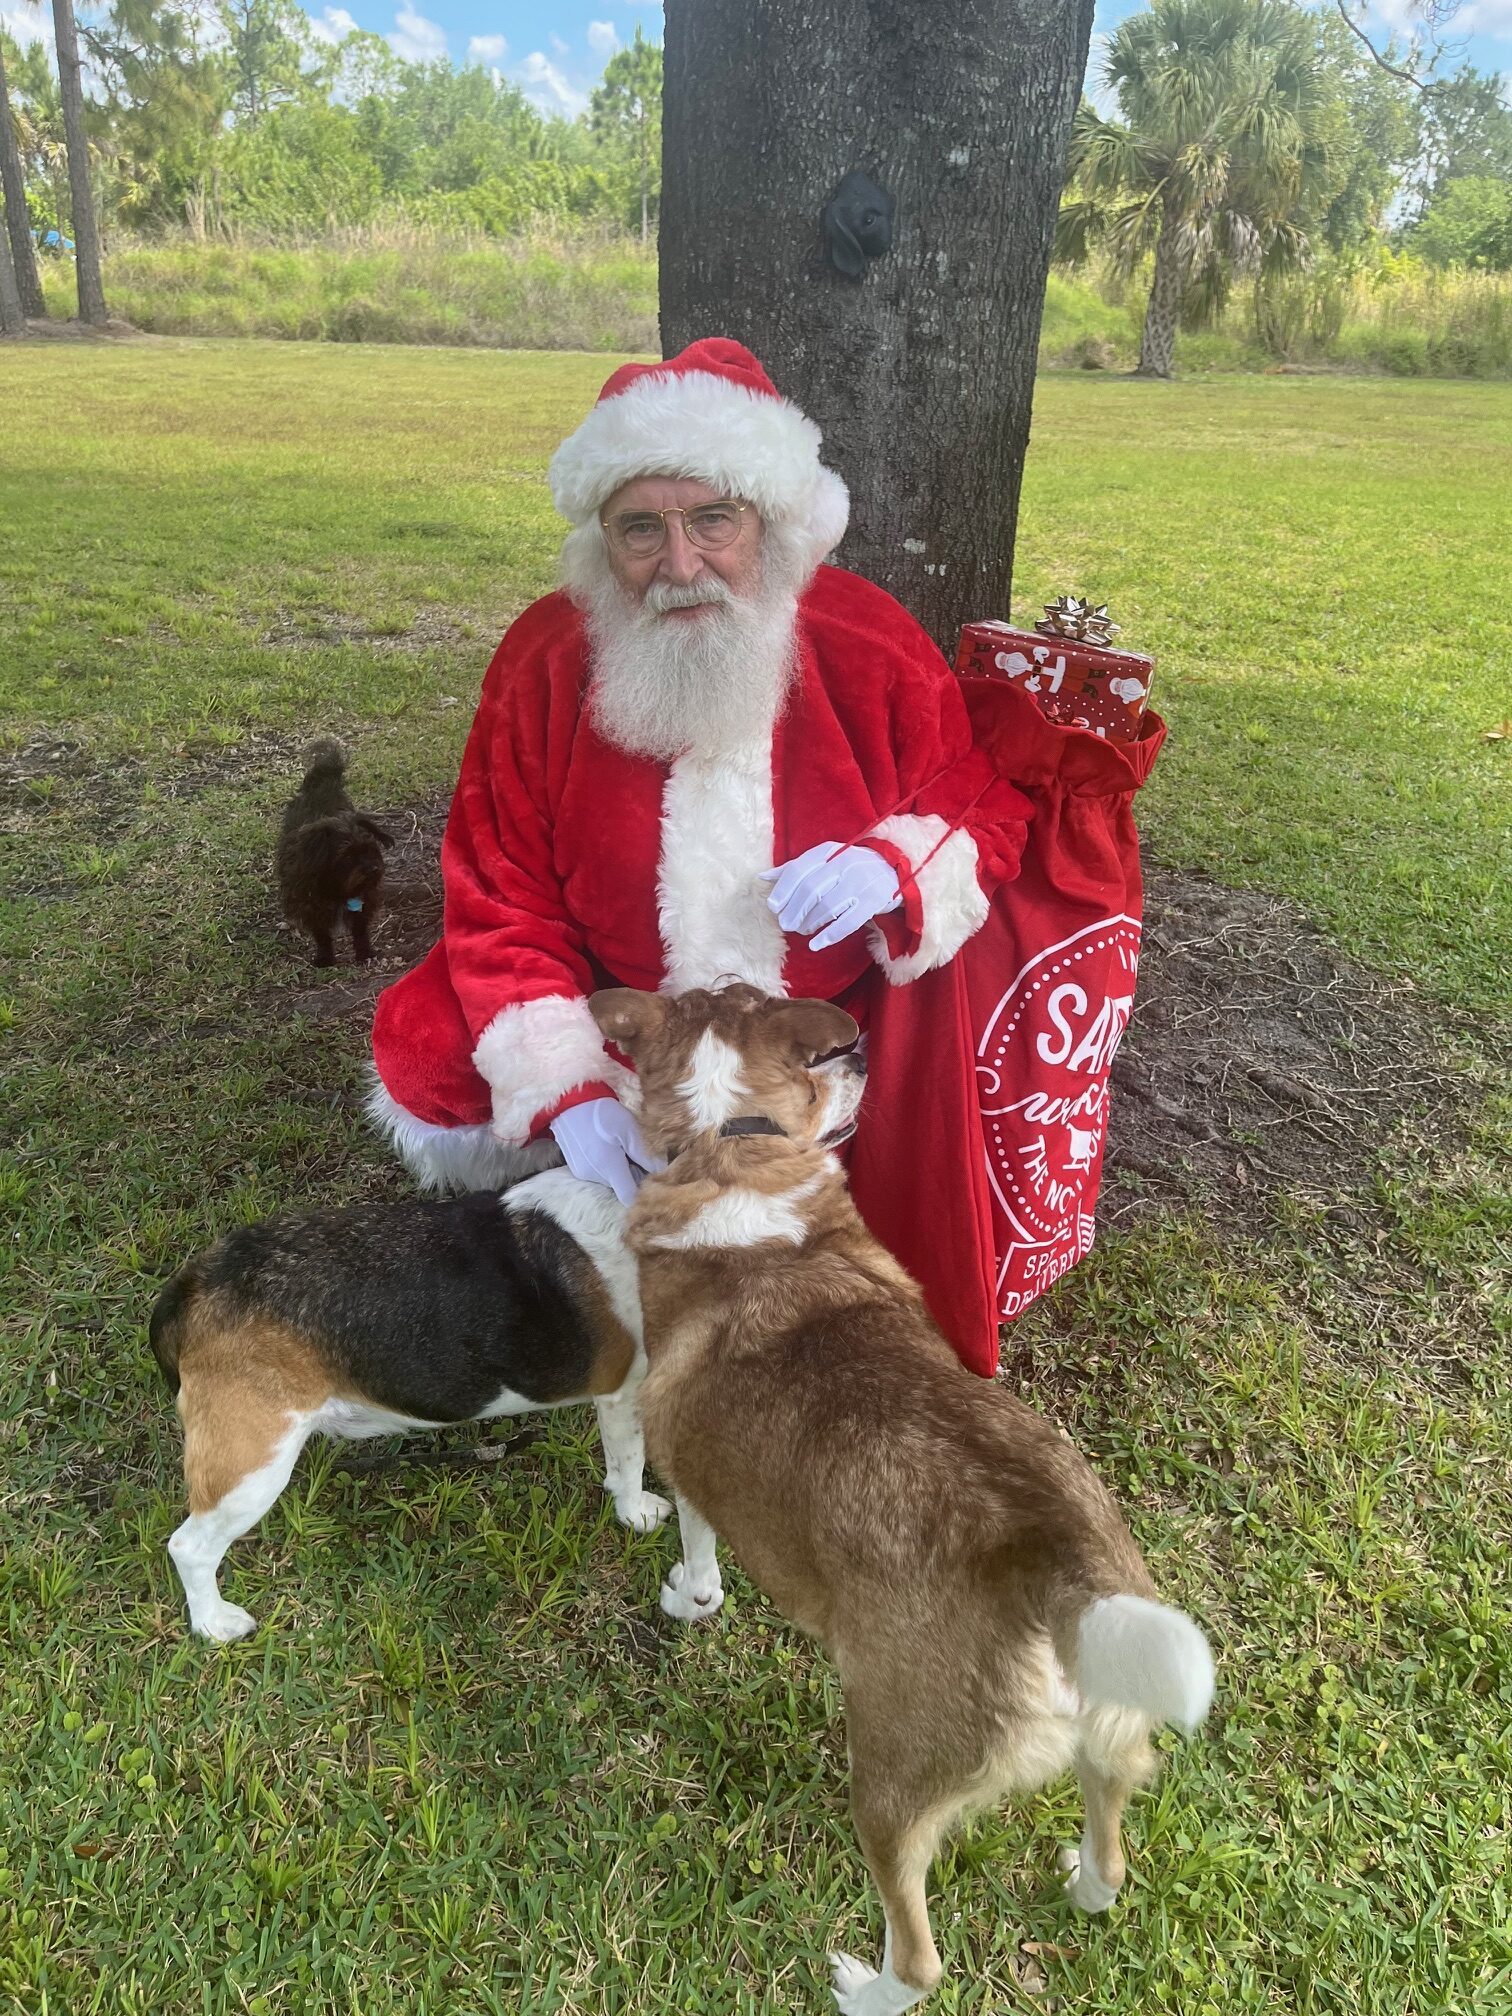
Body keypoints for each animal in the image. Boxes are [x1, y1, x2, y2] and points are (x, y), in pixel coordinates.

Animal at [148, 1169, 669, 1636]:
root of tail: (200, 1280)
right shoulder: (625, 1394)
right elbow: (629, 1465)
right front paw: (637, 1514)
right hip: (253, 1466)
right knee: (188, 1547)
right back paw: (214, 1624)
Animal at [276, 741, 391, 967]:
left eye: (370, 849)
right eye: (346, 856)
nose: (373, 869)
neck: (338, 888)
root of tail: (324, 779)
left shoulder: (364, 900)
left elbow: (360, 929)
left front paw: (365, 952)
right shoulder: (311, 906)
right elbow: (321, 934)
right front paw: (325, 957)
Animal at [592, 983, 1217, 2016]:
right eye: (816, 1061)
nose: (861, 1056)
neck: (734, 1139)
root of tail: (1052, 1569)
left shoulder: (693, 1471)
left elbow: (697, 1556)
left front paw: (686, 1599)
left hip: (888, 1786)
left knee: (921, 1955)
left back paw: (862, 1986)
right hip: (1111, 1718)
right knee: (1112, 1838)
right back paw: (1083, 1885)